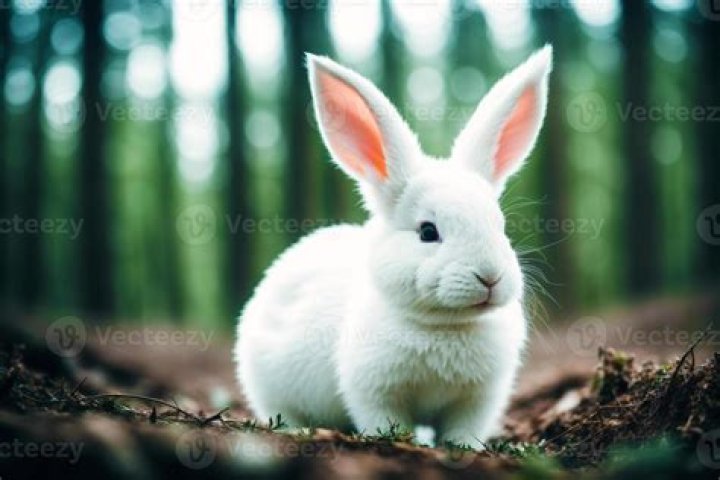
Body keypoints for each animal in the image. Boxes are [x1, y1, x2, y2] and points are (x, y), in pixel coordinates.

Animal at [235, 45, 553, 448]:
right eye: (428, 232)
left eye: (500, 226)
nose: (490, 276)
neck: (444, 325)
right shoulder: (373, 391)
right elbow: (383, 418)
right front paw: (399, 440)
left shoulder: (477, 399)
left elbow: (464, 428)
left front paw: (463, 447)